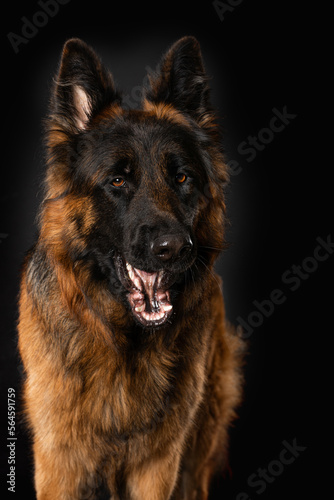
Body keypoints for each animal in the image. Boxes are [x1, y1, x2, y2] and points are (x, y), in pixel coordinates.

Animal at [17, 36, 243, 500]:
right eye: (117, 181)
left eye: (182, 178)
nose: (173, 248)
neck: (123, 344)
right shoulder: (58, 462)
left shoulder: (158, 465)